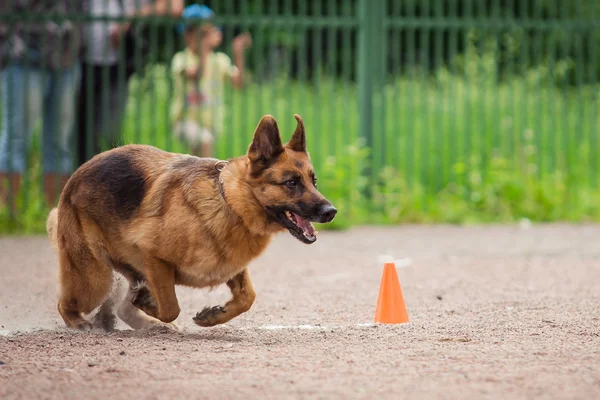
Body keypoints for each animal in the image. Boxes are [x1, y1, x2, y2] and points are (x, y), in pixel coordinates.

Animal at [45, 115, 338, 332]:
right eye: (292, 182)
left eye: (313, 180)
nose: (331, 211)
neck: (231, 204)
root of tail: (76, 176)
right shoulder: (153, 258)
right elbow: (171, 308)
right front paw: (152, 307)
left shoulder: (230, 265)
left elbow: (247, 297)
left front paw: (213, 316)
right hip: (95, 277)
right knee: (66, 304)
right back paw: (81, 323)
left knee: (121, 308)